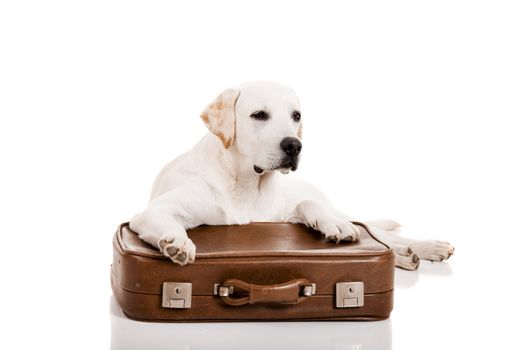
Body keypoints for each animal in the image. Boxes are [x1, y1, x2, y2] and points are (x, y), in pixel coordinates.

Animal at [129, 80, 452, 270]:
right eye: (259, 115)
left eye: (296, 115)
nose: (294, 145)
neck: (247, 185)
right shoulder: (150, 213)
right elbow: (169, 222)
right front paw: (178, 241)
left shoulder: (284, 213)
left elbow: (310, 207)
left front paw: (332, 225)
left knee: (378, 232)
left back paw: (421, 247)